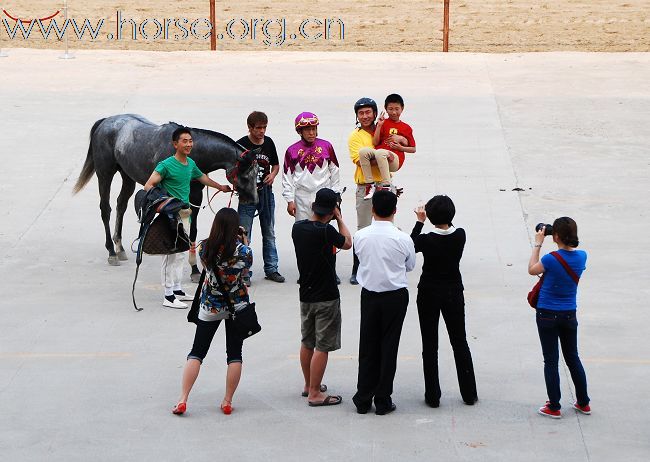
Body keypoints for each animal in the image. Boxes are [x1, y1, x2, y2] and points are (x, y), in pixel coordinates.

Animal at [74, 114, 258, 266]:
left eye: (258, 173)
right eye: (245, 175)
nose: (254, 201)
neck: (192, 154)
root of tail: (105, 121)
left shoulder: (195, 196)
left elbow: (192, 231)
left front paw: (194, 269)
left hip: (127, 176)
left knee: (121, 205)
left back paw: (119, 248)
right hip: (105, 174)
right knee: (106, 209)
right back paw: (112, 252)